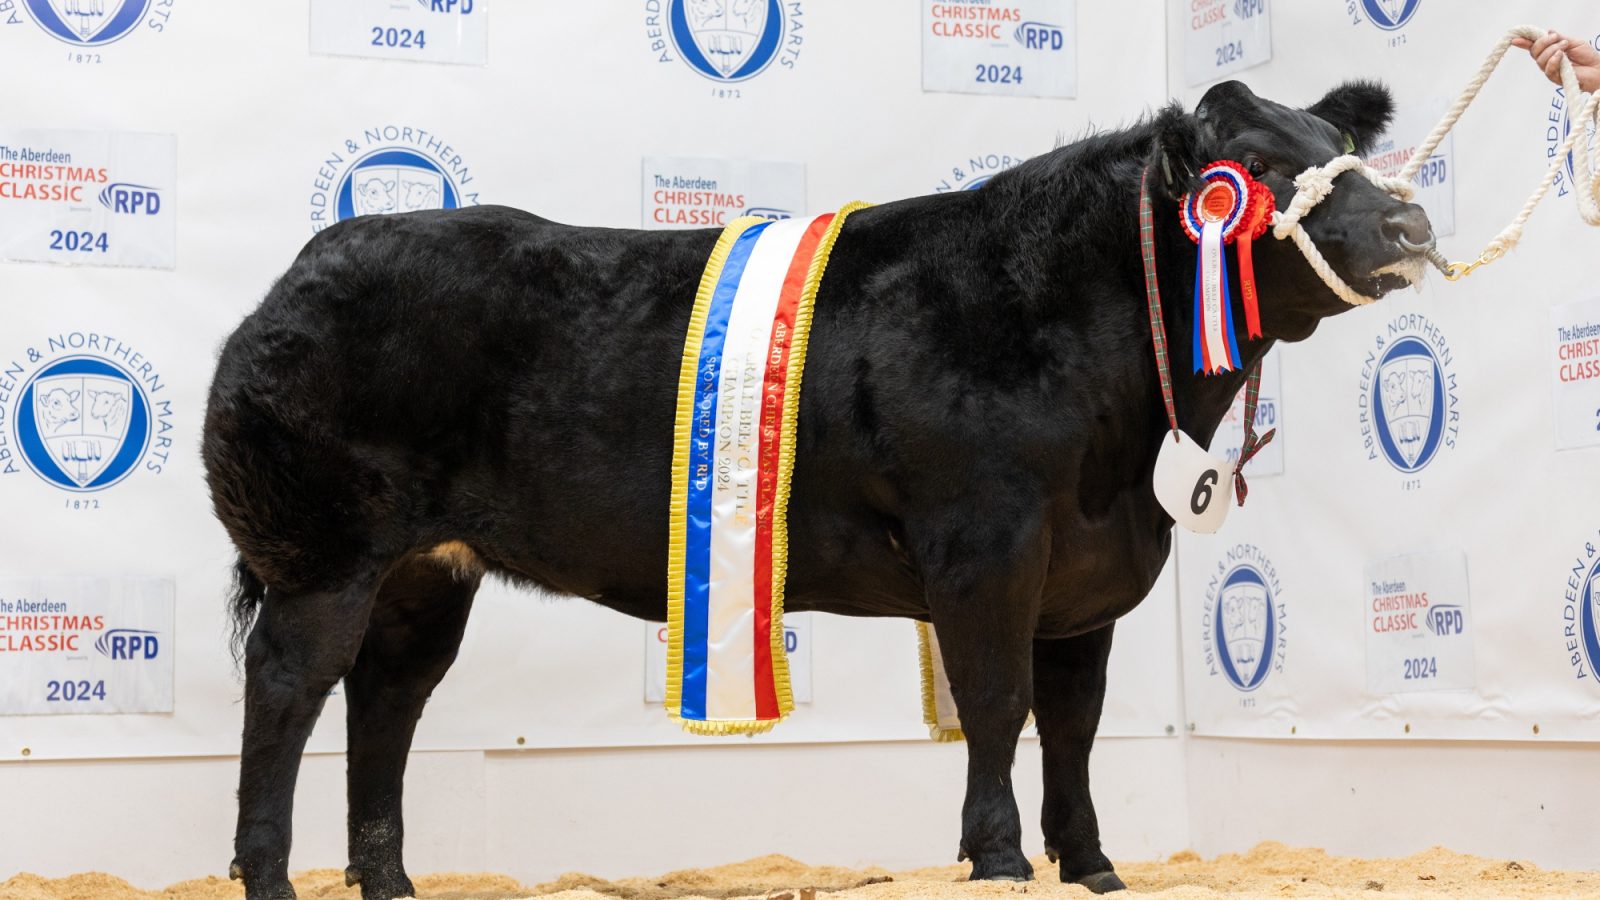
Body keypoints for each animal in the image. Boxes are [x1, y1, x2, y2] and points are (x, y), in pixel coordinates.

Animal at [203, 80, 1432, 900]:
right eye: (1258, 169)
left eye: (1337, 145)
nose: (1411, 222)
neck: (1120, 449)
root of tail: (309, 264)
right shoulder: (985, 544)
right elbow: (1000, 704)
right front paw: (997, 858)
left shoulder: (1086, 579)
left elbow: (1074, 726)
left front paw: (1093, 869)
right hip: (322, 550)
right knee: (288, 687)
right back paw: (266, 877)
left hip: (425, 571)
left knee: (385, 702)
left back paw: (391, 883)